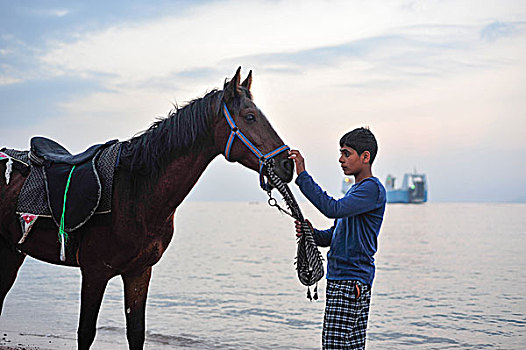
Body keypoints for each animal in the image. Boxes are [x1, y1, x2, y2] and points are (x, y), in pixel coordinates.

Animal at [0, 68, 292, 350]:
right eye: (250, 117)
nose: (287, 165)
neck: (135, 192)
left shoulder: (139, 272)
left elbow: (136, 333)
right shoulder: (95, 272)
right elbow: (86, 333)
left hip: (12, 252)